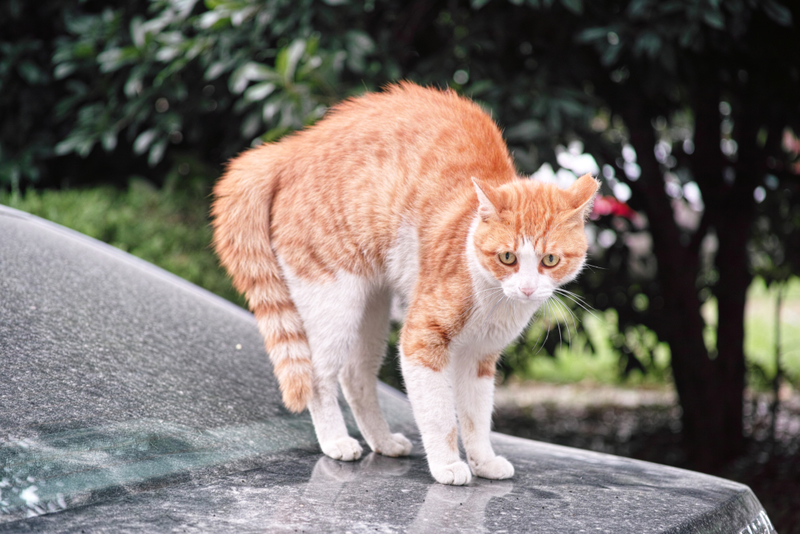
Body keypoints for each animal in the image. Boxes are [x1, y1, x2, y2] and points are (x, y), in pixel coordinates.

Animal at [209, 82, 596, 486]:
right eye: (507, 257)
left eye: (549, 260)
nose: (527, 289)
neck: (494, 299)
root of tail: (290, 149)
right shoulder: (421, 341)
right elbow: (440, 416)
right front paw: (447, 465)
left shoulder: (478, 358)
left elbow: (476, 418)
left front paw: (484, 461)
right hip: (335, 303)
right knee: (318, 376)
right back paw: (335, 442)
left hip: (372, 311)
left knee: (355, 377)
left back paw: (382, 442)